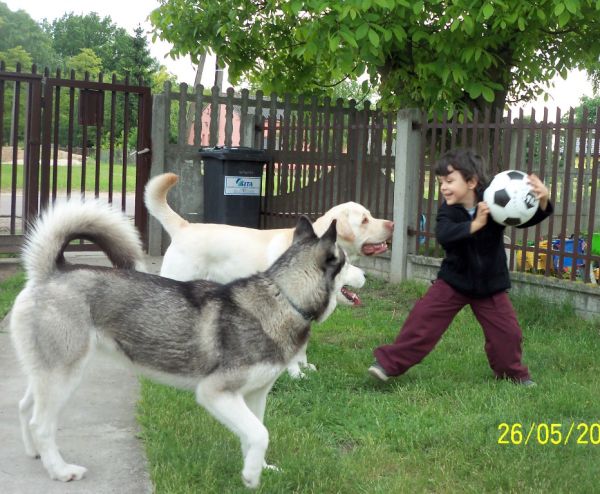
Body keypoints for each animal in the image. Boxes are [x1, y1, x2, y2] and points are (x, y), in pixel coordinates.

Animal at [8, 199, 346, 488]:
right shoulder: (214, 392)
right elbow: (260, 434)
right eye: (346, 263)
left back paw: (36, 453)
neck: (283, 297)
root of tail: (51, 273)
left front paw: (260, 468)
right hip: (64, 376)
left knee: (24, 407)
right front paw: (251, 476)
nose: (360, 276)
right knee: (41, 423)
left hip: (50, 373)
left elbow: (255, 434)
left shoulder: (254, 396)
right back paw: (60, 470)